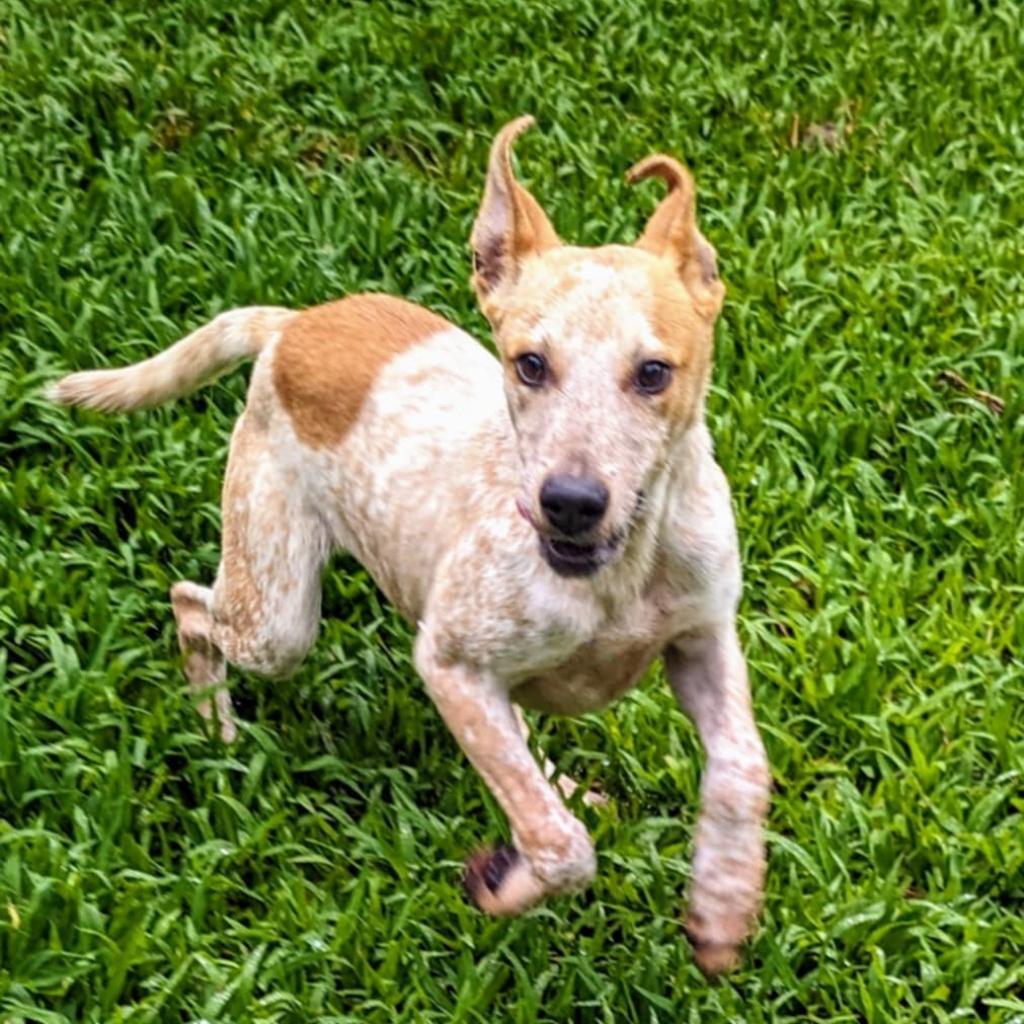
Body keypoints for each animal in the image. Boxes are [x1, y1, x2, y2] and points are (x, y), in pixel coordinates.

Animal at [48, 116, 770, 970]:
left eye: (654, 373)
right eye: (530, 365)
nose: (568, 503)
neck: (622, 570)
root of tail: (290, 326)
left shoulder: (702, 639)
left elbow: (743, 770)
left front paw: (723, 904)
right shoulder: (451, 663)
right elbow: (563, 848)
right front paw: (505, 882)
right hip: (278, 618)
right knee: (192, 604)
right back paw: (216, 727)